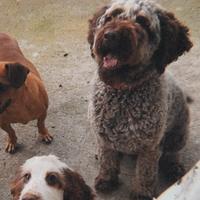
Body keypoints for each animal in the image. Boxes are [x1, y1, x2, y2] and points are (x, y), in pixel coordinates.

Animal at [87, 0, 192, 199]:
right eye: (110, 17)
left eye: (142, 22)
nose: (110, 35)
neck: (124, 93)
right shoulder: (104, 139)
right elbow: (107, 161)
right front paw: (107, 179)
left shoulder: (149, 147)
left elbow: (145, 172)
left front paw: (142, 193)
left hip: (179, 134)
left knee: (172, 153)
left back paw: (173, 167)